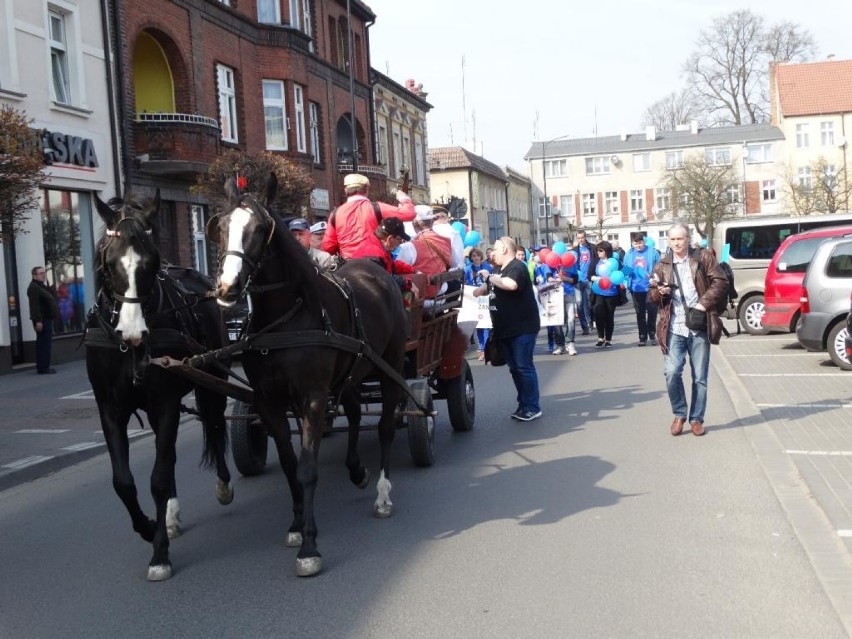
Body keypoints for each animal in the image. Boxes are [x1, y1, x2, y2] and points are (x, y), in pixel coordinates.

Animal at [87, 189, 235, 580]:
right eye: (110, 263)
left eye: (152, 263)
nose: (133, 332)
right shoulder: (110, 409)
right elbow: (124, 482)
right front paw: (149, 526)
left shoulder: (166, 403)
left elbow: (156, 476)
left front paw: (159, 553)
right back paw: (168, 515)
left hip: (213, 382)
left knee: (214, 426)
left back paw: (223, 485)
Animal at [205, 175, 408, 580]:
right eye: (220, 227)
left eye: (260, 229)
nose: (227, 289)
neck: (286, 319)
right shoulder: (269, 401)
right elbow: (289, 464)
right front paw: (297, 525)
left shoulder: (312, 397)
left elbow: (308, 468)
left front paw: (310, 547)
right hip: (351, 371)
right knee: (355, 411)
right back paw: (356, 470)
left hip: (390, 367)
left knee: (385, 428)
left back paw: (382, 492)